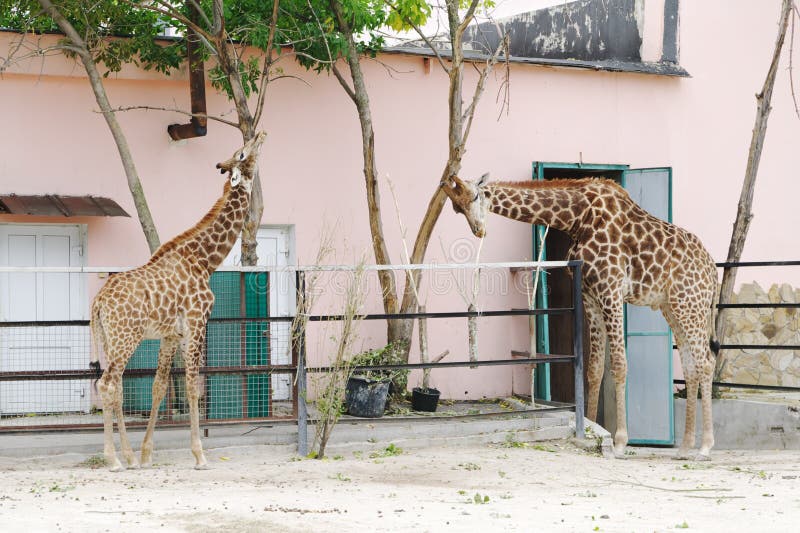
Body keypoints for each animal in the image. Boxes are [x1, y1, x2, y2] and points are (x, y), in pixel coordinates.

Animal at [89, 133, 268, 470]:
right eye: (242, 152)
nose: (261, 134)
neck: (204, 260)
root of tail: (98, 303)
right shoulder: (197, 323)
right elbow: (192, 388)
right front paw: (199, 454)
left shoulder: (171, 334)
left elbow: (160, 387)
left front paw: (146, 453)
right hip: (125, 338)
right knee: (107, 384)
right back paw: (113, 459)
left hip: (108, 340)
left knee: (116, 387)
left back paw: (128, 456)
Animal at [440, 174, 720, 458]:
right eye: (456, 208)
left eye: (475, 196)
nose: (479, 230)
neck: (576, 218)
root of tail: (712, 270)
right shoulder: (589, 295)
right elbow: (594, 367)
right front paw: (594, 426)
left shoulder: (611, 289)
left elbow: (619, 364)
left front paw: (620, 440)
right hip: (672, 307)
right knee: (691, 366)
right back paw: (685, 446)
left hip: (690, 304)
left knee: (706, 362)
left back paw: (706, 445)